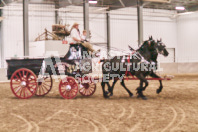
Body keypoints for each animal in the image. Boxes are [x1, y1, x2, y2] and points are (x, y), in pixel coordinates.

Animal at [5, 37, 173, 99]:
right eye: (159, 45)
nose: (167, 52)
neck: (142, 57)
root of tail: (105, 59)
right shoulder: (139, 74)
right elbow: (145, 82)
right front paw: (141, 92)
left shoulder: (148, 72)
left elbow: (157, 80)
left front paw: (150, 91)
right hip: (111, 74)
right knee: (106, 83)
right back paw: (109, 93)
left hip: (115, 74)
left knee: (113, 83)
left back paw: (116, 93)